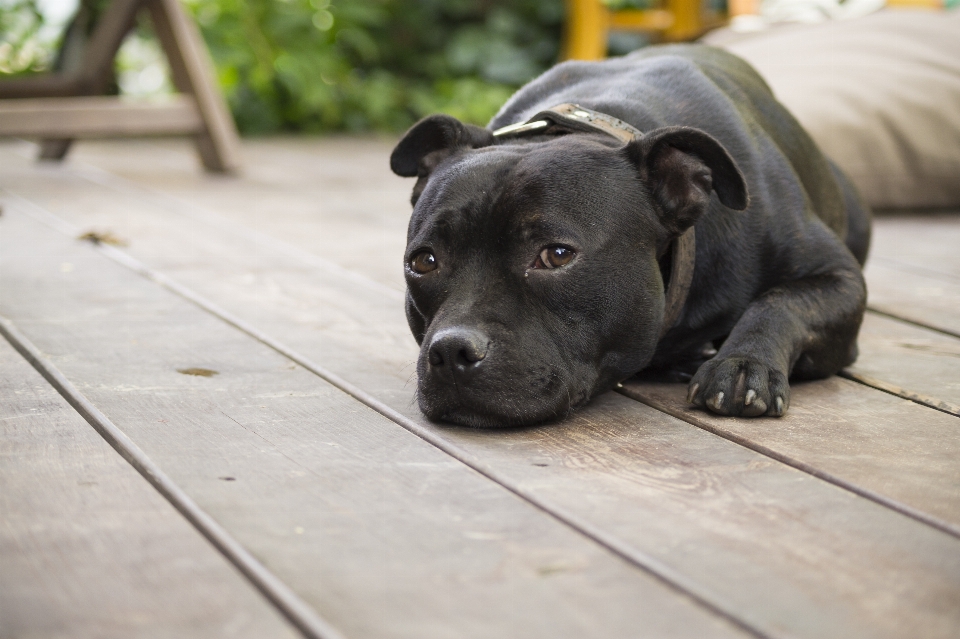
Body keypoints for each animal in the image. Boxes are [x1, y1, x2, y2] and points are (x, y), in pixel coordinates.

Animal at [388, 42, 872, 428]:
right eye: (424, 261)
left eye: (557, 255)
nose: (451, 351)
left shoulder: (840, 277)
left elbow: (780, 302)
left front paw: (743, 364)